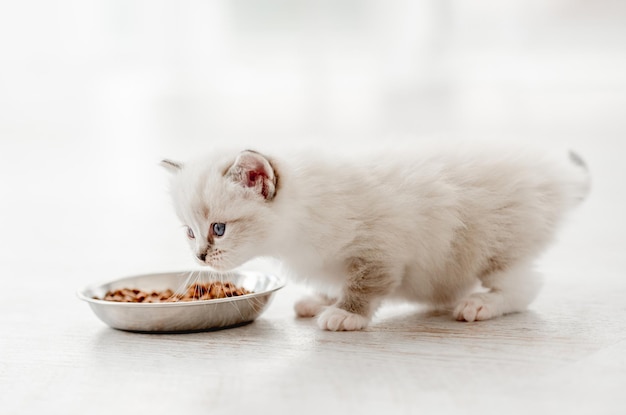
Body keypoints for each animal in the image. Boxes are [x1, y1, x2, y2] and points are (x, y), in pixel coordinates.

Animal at [160, 145, 584, 334]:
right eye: (189, 232)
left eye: (219, 229)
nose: (199, 256)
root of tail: (556, 175)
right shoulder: (331, 259)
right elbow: (336, 280)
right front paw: (323, 300)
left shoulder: (382, 244)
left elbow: (365, 283)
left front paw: (346, 313)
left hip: (497, 248)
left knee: (526, 286)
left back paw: (481, 304)